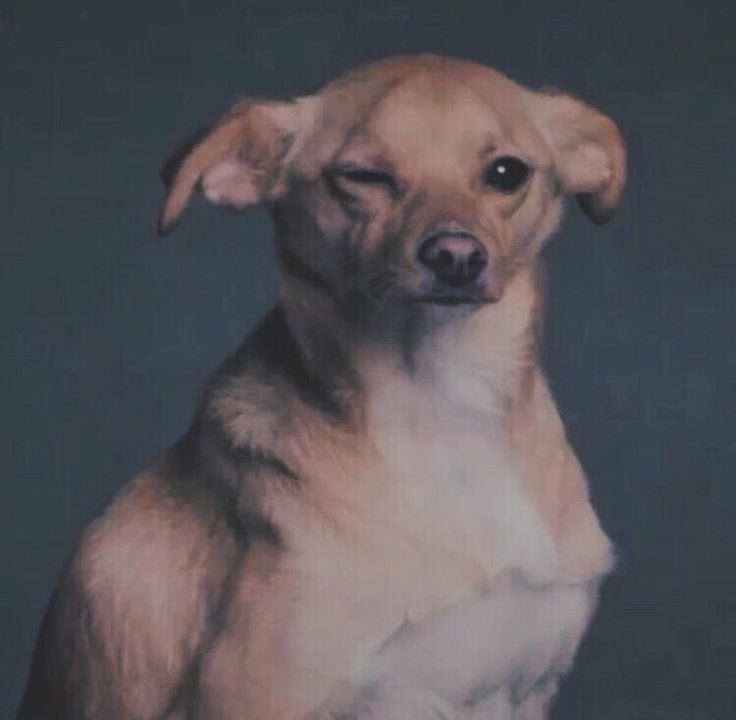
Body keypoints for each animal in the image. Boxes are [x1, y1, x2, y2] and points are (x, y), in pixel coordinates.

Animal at [17, 56, 628, 720]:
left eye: (505, 172)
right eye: (363, 177)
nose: (456, 255)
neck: (443, 408)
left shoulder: (522, 694)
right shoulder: (253, 696)